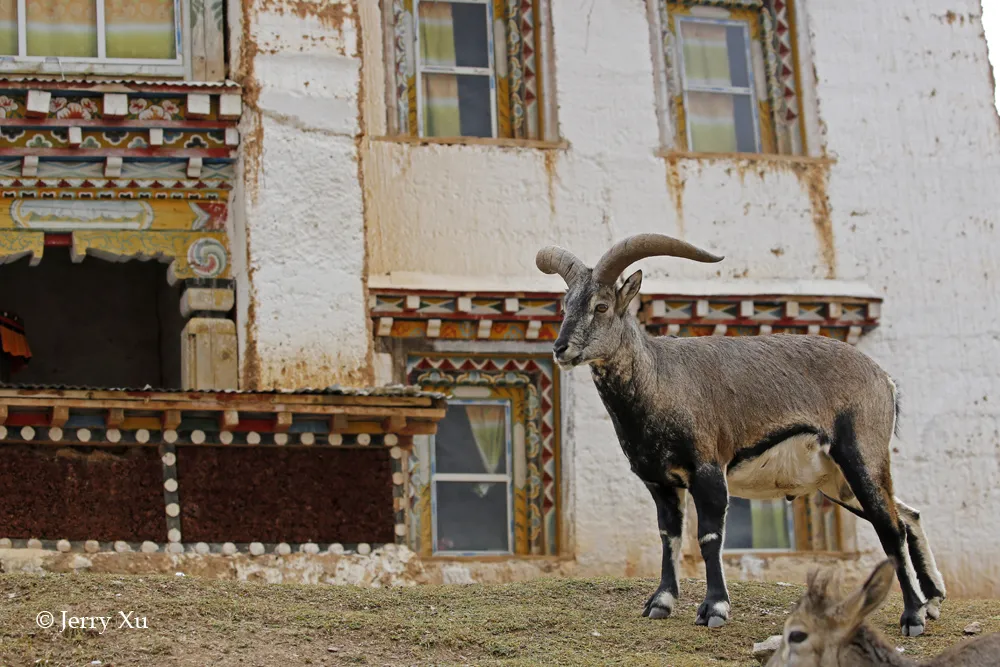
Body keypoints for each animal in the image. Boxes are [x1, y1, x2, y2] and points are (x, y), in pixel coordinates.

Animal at [532, 234, 944, 636]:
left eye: (601, 306)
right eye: (566, 306)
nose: (561, 349)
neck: (660, 380)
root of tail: (885, 380)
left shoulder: (708, 470)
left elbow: (709, 537)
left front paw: (714, 608)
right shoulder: (661, 482)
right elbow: (669, 536)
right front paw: (660, 603)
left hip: (861, 454)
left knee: (890, 526)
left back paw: (913, 616)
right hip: (836, 481)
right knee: (907, 515)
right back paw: (933, 600)